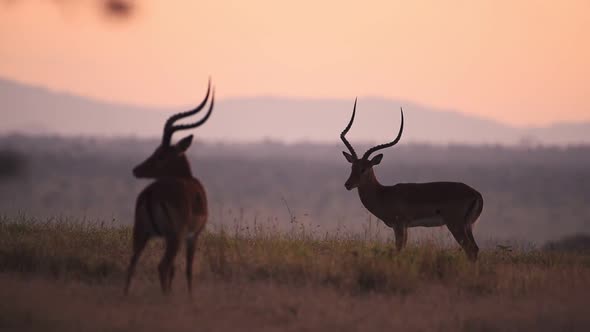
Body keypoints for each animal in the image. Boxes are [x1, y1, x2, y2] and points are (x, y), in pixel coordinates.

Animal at [125, 79, 215, 294]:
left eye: (160, 154)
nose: (136, 170)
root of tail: (151, 193)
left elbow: (175, 270)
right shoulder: (192, 236)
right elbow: (188, 269)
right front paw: (190, 297)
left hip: (142, 233)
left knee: (131, 264)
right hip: (174, 237)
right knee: (162, 266)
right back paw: (166, 297)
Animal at [342, 98, 486, 260]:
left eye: (364, 169)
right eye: (352, 166)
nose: (348, 184)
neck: (384, 193)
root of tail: (476, 194)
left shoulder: (399, 225)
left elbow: (398, 249)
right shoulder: (404, 227)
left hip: (456, 225)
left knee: (470, 249)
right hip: (467, 226)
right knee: (475, 249)